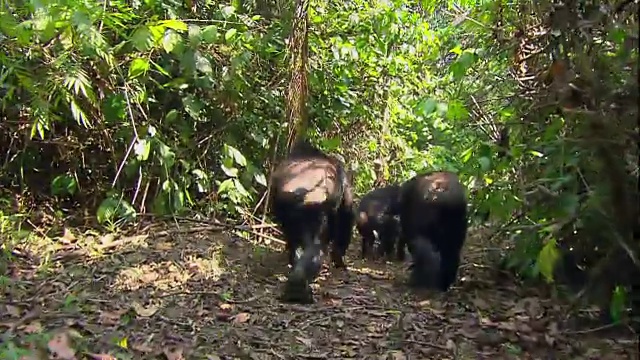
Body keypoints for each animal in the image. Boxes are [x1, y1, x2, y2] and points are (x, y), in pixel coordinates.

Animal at [266, 139, 352, 302]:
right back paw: (299, 287)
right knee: (316, 245)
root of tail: (304, 195)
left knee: (298, 242)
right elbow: (346, 220)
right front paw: (339, 260)